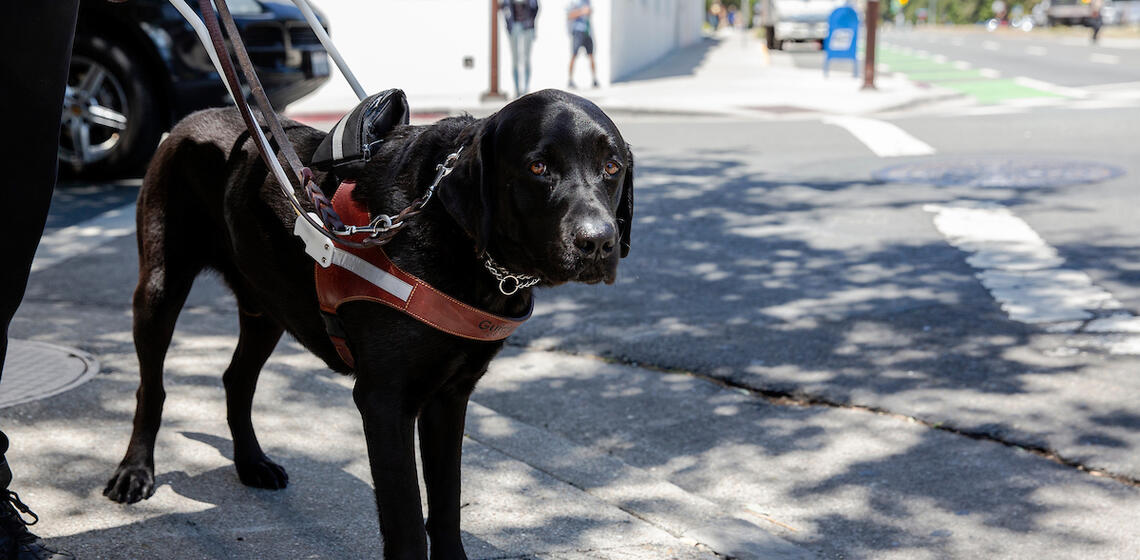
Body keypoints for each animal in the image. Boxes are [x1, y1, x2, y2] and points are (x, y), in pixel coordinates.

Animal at [102, 90, 633, 558]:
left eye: (612, 167)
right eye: (537, 167)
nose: (598, 242)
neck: (456, 237)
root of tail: (190, 120)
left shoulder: (450, 396)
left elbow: (446, 505)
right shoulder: (384, 401)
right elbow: (406, 524)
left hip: (266, 307)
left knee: (237, 379)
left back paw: (252, 464)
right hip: (160, 288)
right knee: (151, 387)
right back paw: (135, 471)